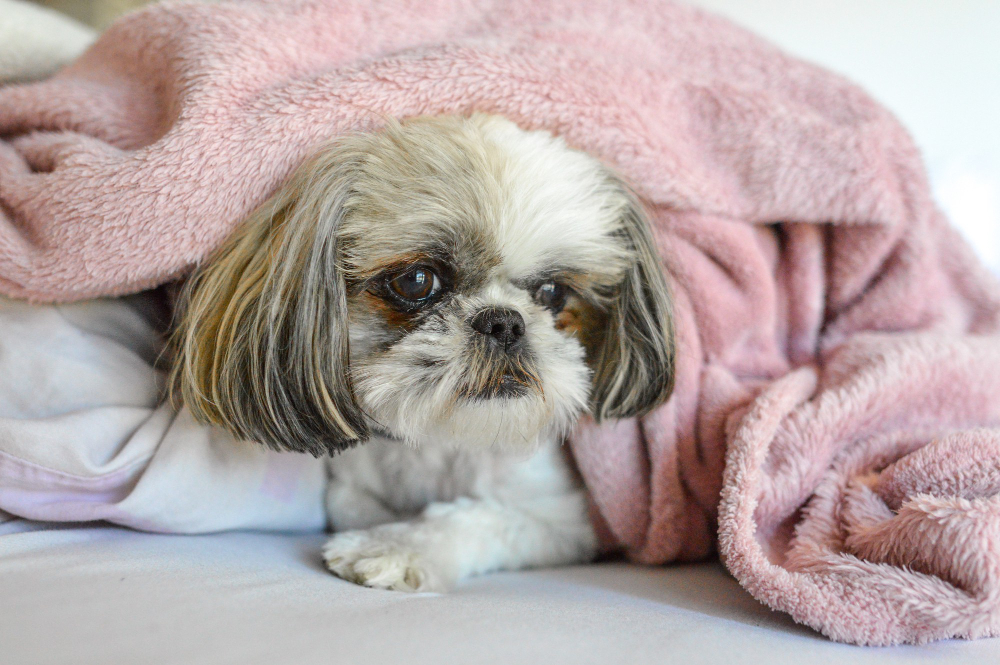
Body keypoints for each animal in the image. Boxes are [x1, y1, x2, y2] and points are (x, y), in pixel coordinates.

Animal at [170, 113, 672, 592]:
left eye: (553, 292)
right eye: (416, 280)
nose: (504, 322)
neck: (441, 440)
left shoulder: (560, 521)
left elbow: (474, 517)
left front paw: (397, 547)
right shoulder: (350, 490)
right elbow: (357, 504)